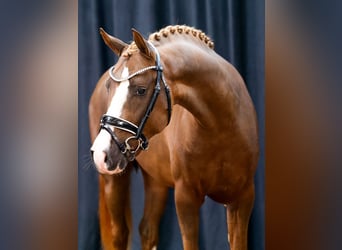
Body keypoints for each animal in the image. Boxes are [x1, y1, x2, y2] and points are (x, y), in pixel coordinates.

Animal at [89, 25, 258, 250]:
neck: (221, 128)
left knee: (147, 230)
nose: (101, 152)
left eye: (141, 90)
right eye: (110, 87)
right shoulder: (185, 197)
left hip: (156, 180)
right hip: (113, 180)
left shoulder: (242, 199)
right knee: (119, 234)